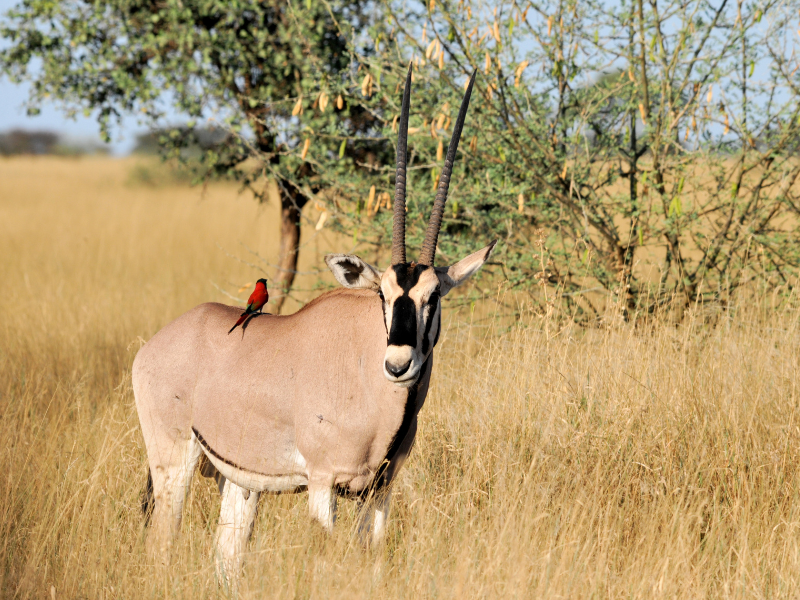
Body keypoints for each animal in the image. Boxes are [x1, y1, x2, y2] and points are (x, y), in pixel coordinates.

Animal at [133, 65, 494, 576]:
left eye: (434, 296)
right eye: (382, 295)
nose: (398, 365)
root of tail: (153, 347)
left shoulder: (380, 490)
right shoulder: (323, 484)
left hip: (239, 481)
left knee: (226, 557)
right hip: (173, 463)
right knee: (161, 544)